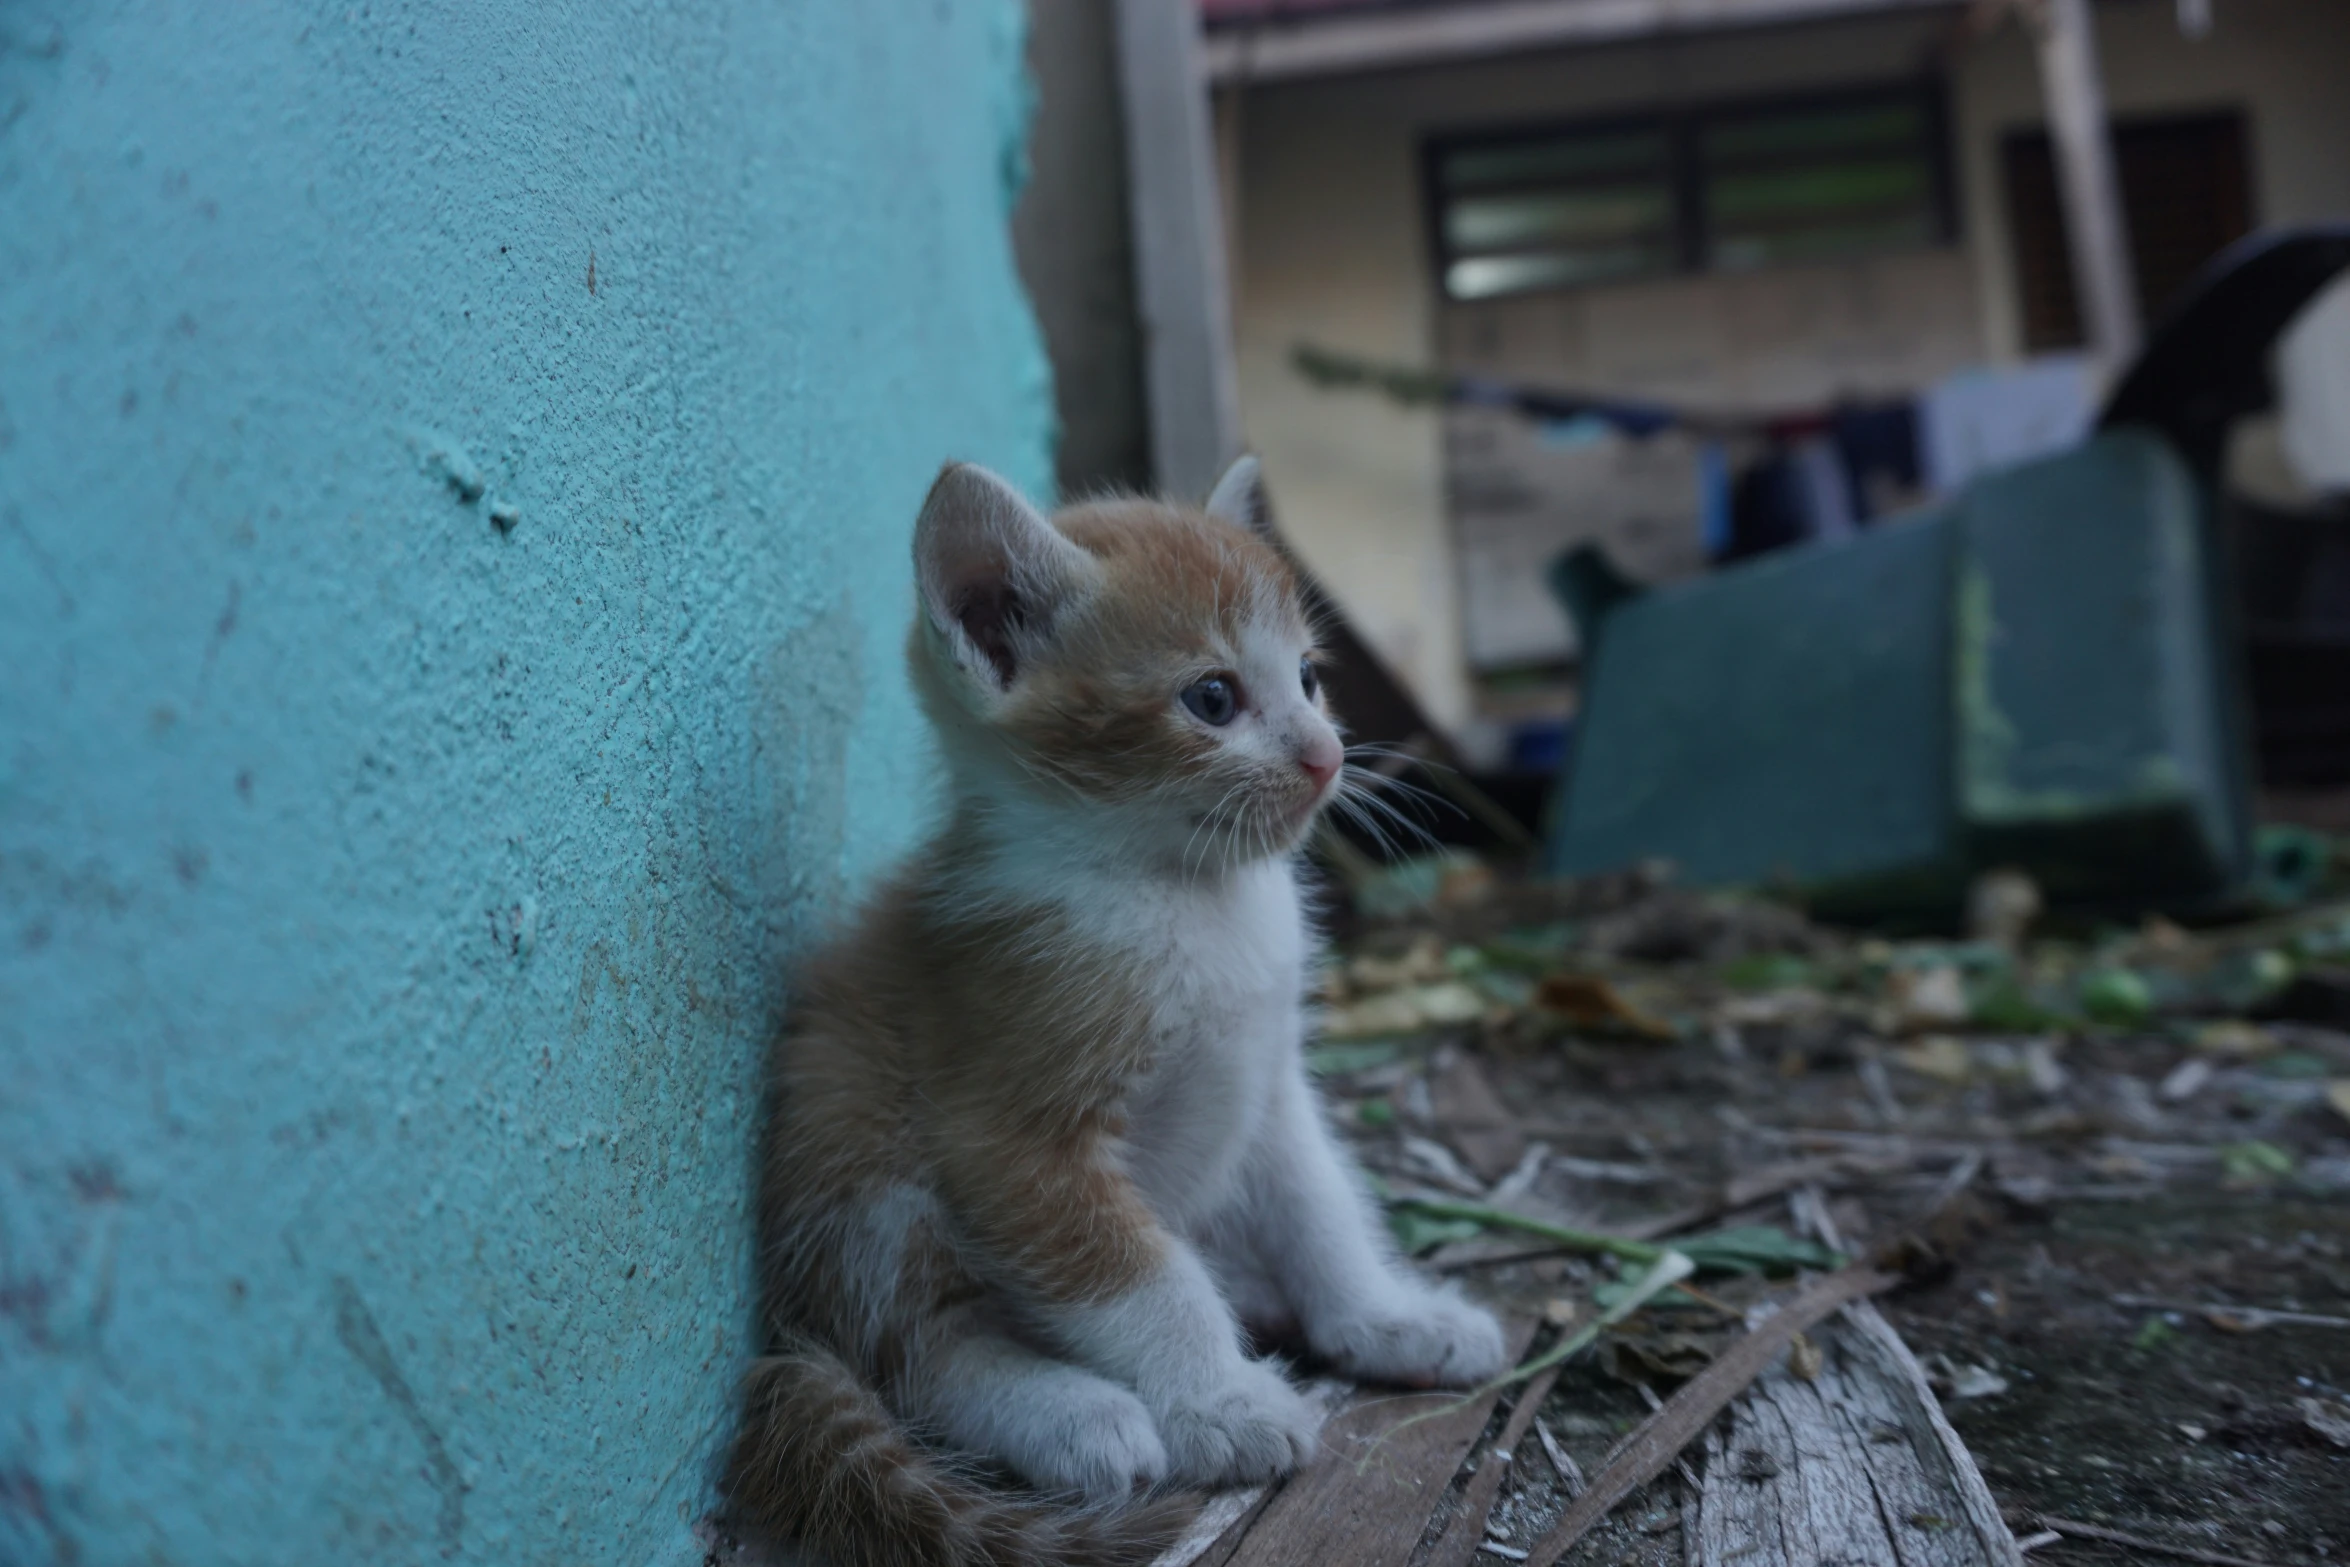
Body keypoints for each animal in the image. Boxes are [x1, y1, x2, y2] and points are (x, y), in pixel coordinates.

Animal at [714, 460, 1504, 1559]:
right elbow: (1141, 1276)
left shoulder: (1268, 1084)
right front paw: (1219, 1402)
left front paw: (1382, 1315)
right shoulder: (1010, 1131)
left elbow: (1320, 1205)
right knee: (917, 1343)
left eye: (1308, 677)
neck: (1188, 894)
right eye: (1212, 697)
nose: (1327, 756)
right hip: (854, 1147)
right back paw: (1072, 1413)